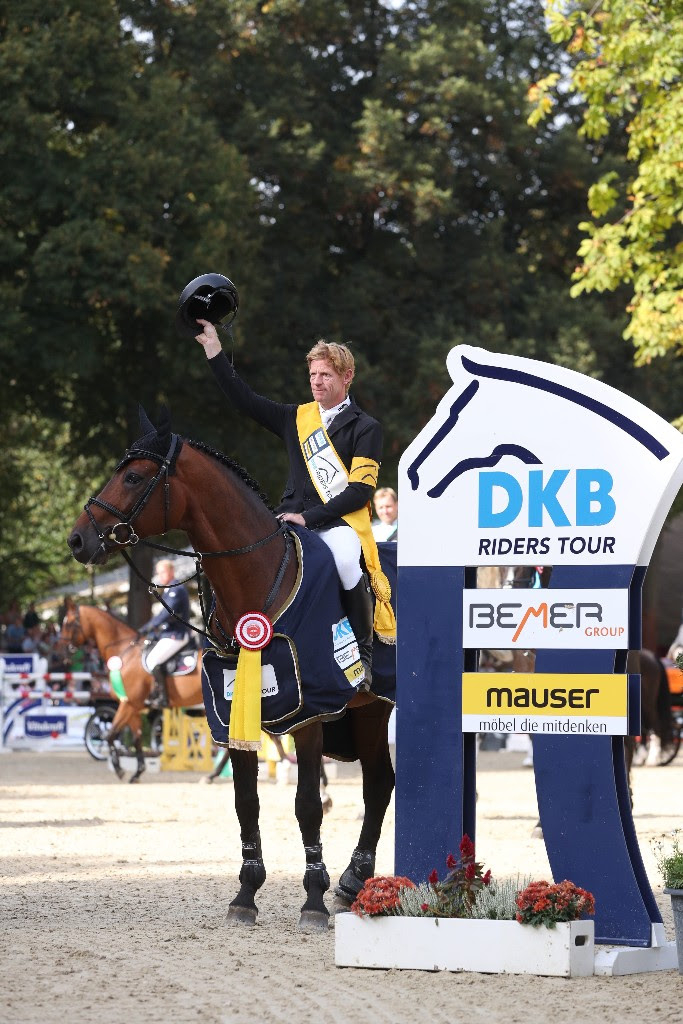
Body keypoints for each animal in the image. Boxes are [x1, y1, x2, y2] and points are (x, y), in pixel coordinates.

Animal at [60, 598, 204, 782]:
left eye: (69, 623)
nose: (62, 651)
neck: (124, 653)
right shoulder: (134, 708)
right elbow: (136, 739)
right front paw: (137, 772)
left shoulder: (127, 704)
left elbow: (110, 734)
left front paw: (119, 769)